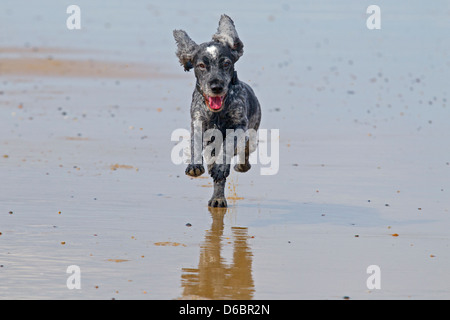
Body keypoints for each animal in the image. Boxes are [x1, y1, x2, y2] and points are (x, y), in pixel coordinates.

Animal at [174, 14, 262, 208]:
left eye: (226, 63)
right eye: (201, 65)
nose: (216, 86)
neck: (217, 113)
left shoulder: (238, 126)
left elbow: (228, 146)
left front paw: (222, 167)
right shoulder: (198, 123)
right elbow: (195, 145)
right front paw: (194, 166)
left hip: (251, 136)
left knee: (243, 153)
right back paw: (217, 198)